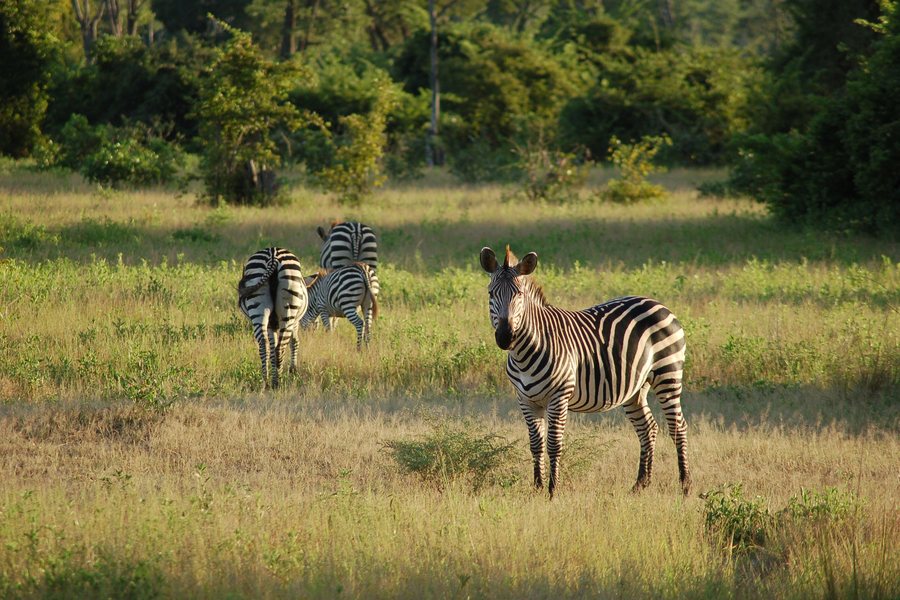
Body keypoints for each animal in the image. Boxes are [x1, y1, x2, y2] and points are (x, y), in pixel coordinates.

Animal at [238, 247, 308, 389]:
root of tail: (273, 256)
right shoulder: (295, 323)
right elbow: (294, 342)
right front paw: (293, 370)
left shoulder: (271, 325)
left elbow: (271, 347)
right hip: (289, 311)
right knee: (280, 348)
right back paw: (277, 382)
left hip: (258, 309)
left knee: (264, 345)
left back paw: (266, 381)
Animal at [480, 245, 690, 498]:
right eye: (491, 294)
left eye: (519, 294)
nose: (505, 337)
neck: (524, 352)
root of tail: (657, 303)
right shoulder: (526, 400)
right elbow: (536, 444)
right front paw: (537, 487)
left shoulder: (558, 397)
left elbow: (554, 444)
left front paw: (552, 491)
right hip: (636, 388)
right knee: (648, 427)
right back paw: (640, 484)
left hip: (668, 373)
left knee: (678, 426)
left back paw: (685, 485)